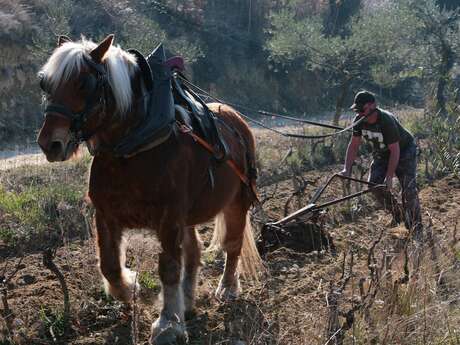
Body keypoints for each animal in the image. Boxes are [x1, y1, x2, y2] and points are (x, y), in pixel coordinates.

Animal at [36, 34, 262, 342]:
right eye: (45, 84)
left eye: (84, 83)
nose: (50, 143)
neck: (134, 146)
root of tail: (234, 117)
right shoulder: (105, 215)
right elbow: (109, 264)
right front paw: (129, 289)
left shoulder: (169, 218)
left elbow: (168, 268)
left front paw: (167, 323)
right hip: (189, 216)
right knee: (194, 251)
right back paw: (187, 302)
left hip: (237, 201)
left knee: (232, 244)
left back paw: (227, 288)